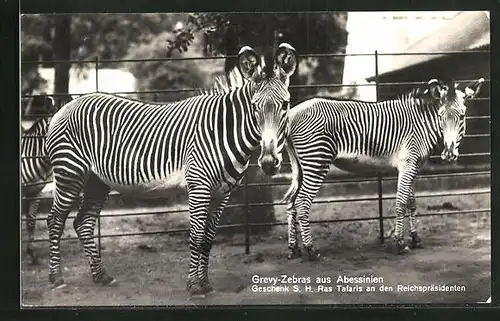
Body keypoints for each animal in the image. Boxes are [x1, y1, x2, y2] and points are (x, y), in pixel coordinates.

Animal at [44, 43, 296, 298]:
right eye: (254, 107)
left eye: (285, 104)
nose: (268, 162)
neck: (222, 130)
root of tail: (65, 107)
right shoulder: (199, 187)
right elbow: (196, 237)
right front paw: (194, 287)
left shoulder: (221, 194)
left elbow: (208, 239)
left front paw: (205, 283)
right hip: (69, 172)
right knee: (55, 220)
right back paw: (57, 279)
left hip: (96, 181)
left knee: (83, 222)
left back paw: (101, 276)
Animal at [284, 78, 486, 260]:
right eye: (441, 117)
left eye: (461, 116)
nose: (449, 154)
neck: (422, 124)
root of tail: (292, 113)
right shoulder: (408, 163)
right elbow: (401, 202)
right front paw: (400, 243)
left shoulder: (413, 165)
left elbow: (411, 202)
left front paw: (415, 239)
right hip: (317, 160)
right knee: (302, 202)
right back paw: (311, 250)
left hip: (301, 165)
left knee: (291, 202)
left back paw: (294, 249)